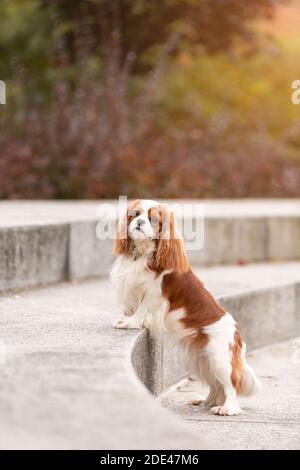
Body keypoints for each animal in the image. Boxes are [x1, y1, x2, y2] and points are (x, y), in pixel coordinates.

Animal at [110, 198, 260, 414]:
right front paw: (126, 316)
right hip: (202, 360)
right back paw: (205, 401)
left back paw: (227, 408)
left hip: (219, 358)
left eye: (153, 219)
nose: (139, 222)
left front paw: (130, 323)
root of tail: (237, 334)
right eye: (135, 214)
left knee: (230, 385)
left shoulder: (155, 294)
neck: (142, 253)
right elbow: (132, 305)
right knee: (216, 385)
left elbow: (142, 309)